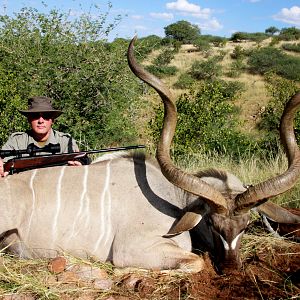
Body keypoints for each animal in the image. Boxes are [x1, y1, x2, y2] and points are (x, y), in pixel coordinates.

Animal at [0, 37, 300, 274]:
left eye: (246, 225)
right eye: (212, 223)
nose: (231, 268)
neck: (172, 199)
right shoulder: (134, 248)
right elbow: (195, 262)